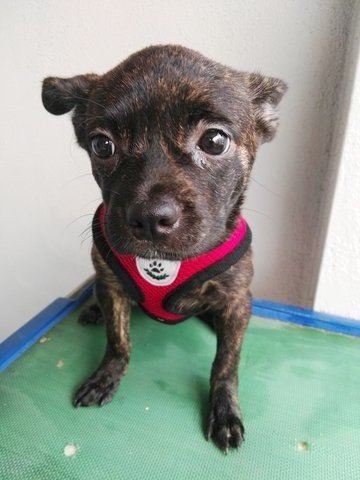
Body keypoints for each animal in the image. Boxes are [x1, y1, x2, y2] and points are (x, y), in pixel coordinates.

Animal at [40, 44, 286, 450]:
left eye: (215, 141)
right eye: (102, 145)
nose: (150, 217)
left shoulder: (237, 300)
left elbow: (226, 363)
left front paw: (224, 408)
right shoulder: (111, 286)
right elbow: (117, 340)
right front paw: (106, 375)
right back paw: (92, 311)